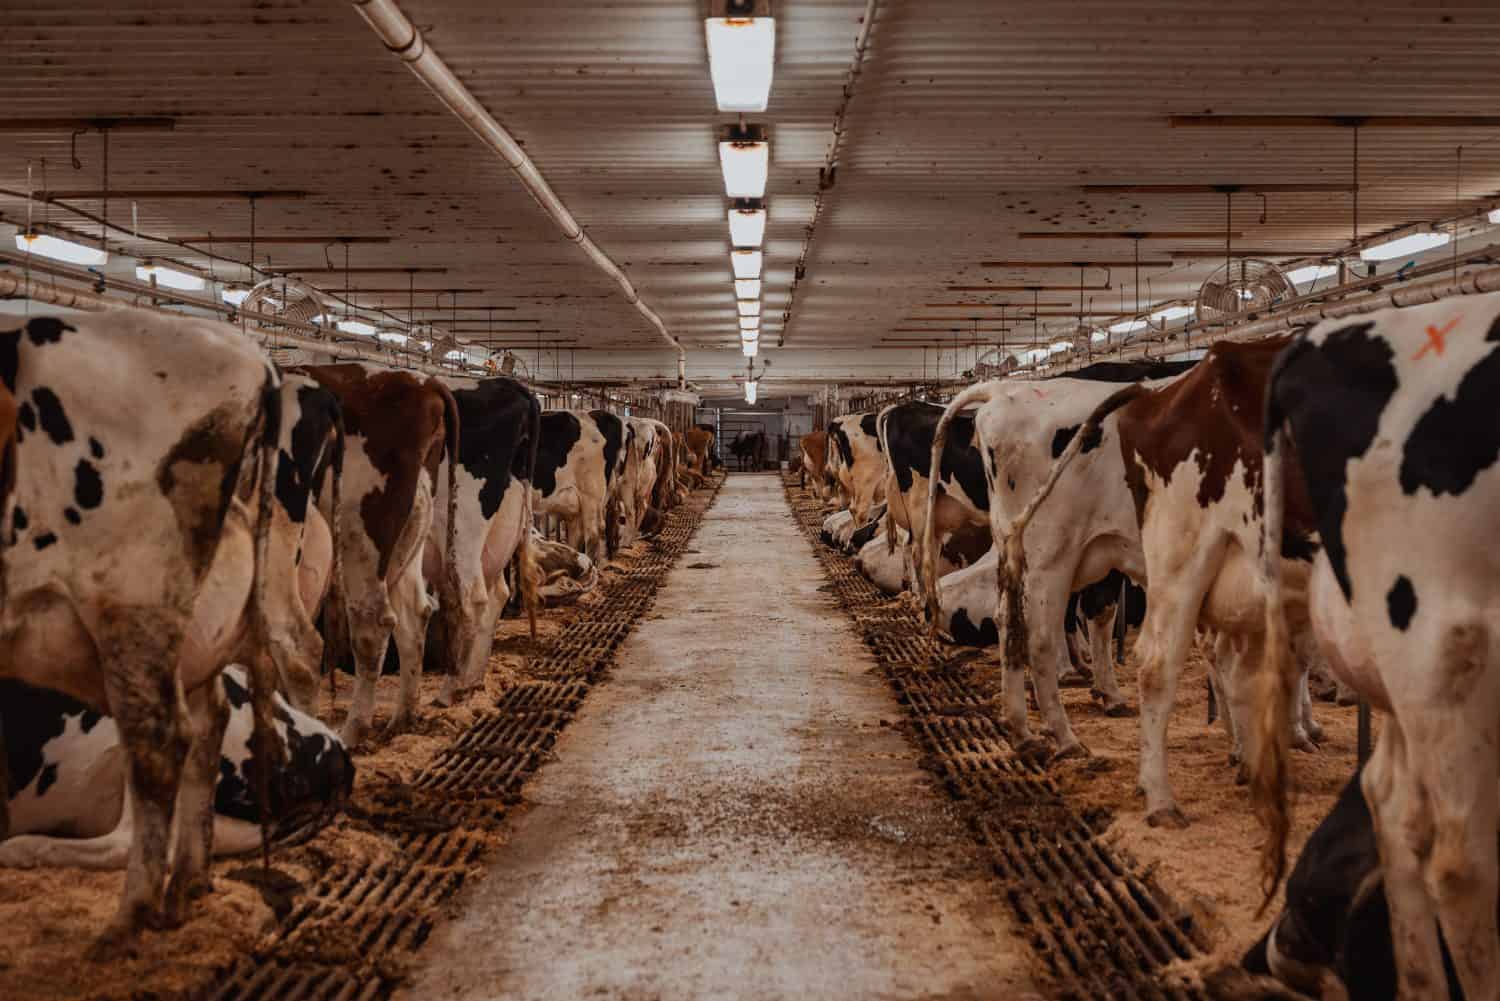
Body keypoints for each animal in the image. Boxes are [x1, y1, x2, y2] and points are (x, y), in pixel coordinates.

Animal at [291, 364, 456, 747]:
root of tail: (423, 384)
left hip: (361, 531)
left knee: (373, 622)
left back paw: (353, 730)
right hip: (411, 530)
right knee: (416, 613)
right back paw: (402, 719)